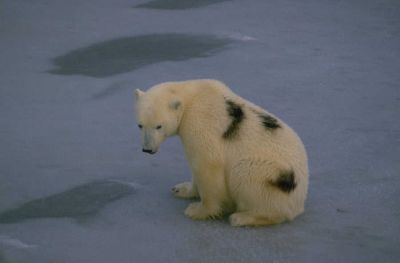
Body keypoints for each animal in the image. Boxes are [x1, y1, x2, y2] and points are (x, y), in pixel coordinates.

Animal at [135, 79, 310, 227]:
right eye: (140, 125)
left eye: (159, 126)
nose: (147, 149)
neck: (192, 96)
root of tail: (299, 199)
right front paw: (181, 189)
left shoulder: (200, 122)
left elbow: (207, 165)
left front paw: (197, 210)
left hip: (268, 175)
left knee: (245, 176)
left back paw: (242, 217)